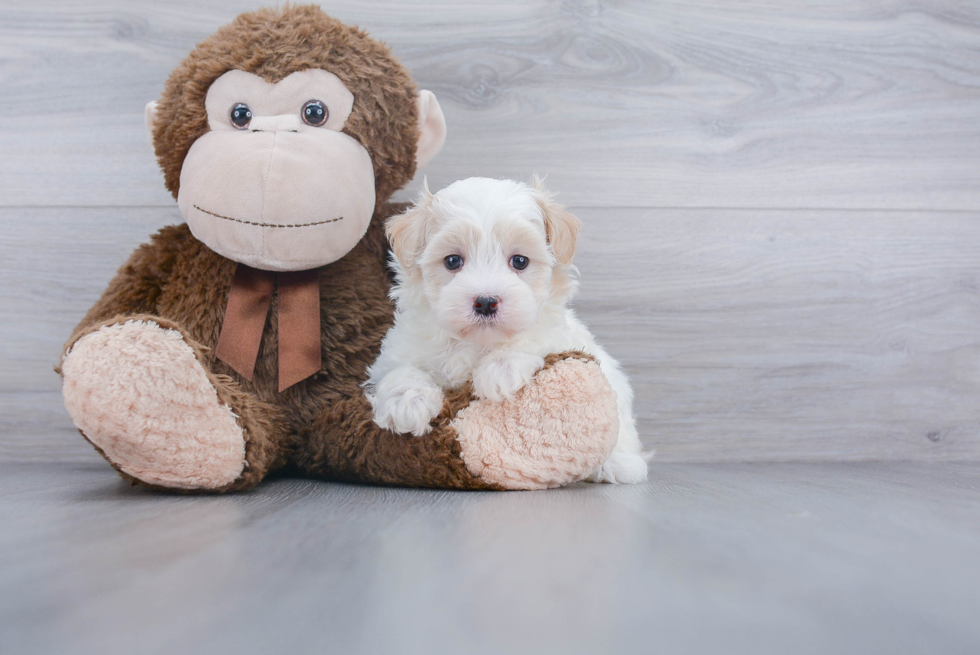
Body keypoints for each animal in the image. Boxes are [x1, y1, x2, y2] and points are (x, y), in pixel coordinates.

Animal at [364, 177, 648, 484]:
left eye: (520, 261)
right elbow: (400, 370)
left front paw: (501, 368)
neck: (476, 343)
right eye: (452, 261)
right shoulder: (399, 349)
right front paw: (406, 401)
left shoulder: (556, 334)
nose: (486, 301)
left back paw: (619, 464)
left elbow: (531, 337)